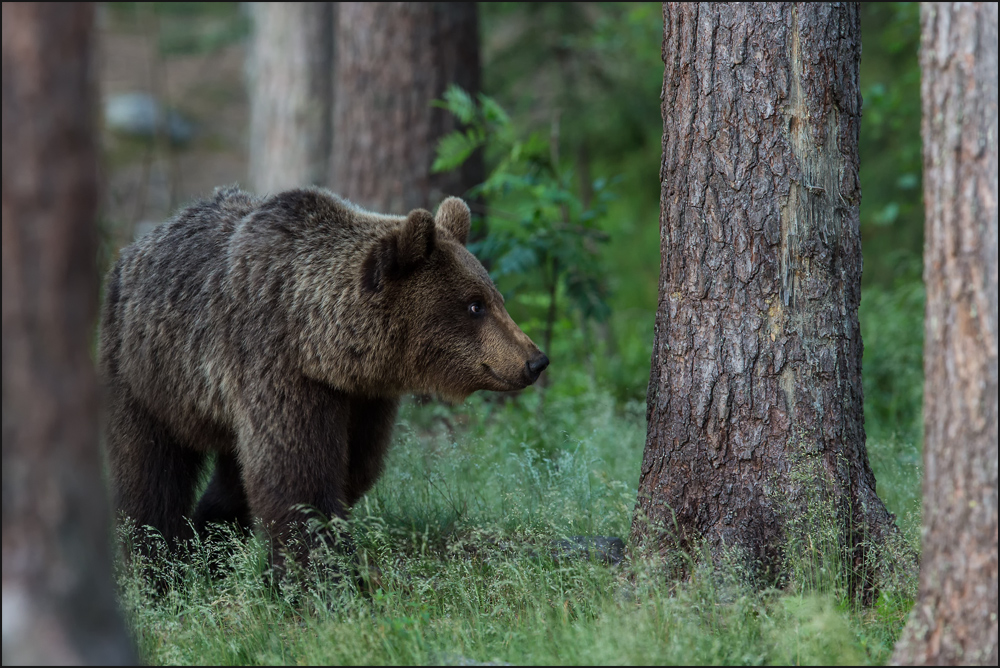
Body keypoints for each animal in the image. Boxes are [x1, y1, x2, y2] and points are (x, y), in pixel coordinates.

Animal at [98, 187, 552, 576]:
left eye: (496, 298)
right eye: (474, 305)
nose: (535, 360)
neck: (318, 341)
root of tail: (135, 247)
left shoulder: (361, 398)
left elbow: (350, 466)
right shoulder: (275, 368)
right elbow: (300, 481)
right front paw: (325, 578)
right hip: (147, 374)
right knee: (149, 472)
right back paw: (159, 564)